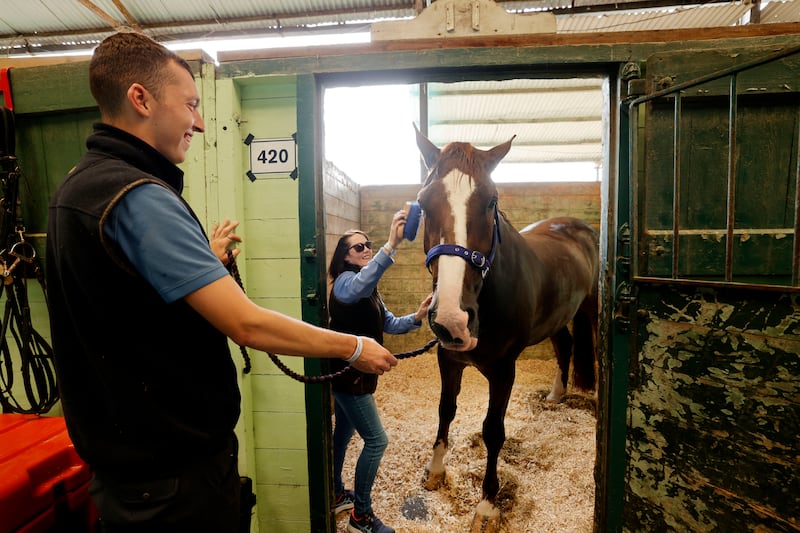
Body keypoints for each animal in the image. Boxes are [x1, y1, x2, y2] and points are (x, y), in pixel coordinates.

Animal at [416, 127, 596, 528]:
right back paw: (555, 395)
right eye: (422, 202)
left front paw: (486, 505)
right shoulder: (447, 360)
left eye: (491, 201)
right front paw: (435, 471)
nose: (453, 320)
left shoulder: (503, 371)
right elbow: (445, 409)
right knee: (564, 345)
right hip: (557, 317)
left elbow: (493, 431)